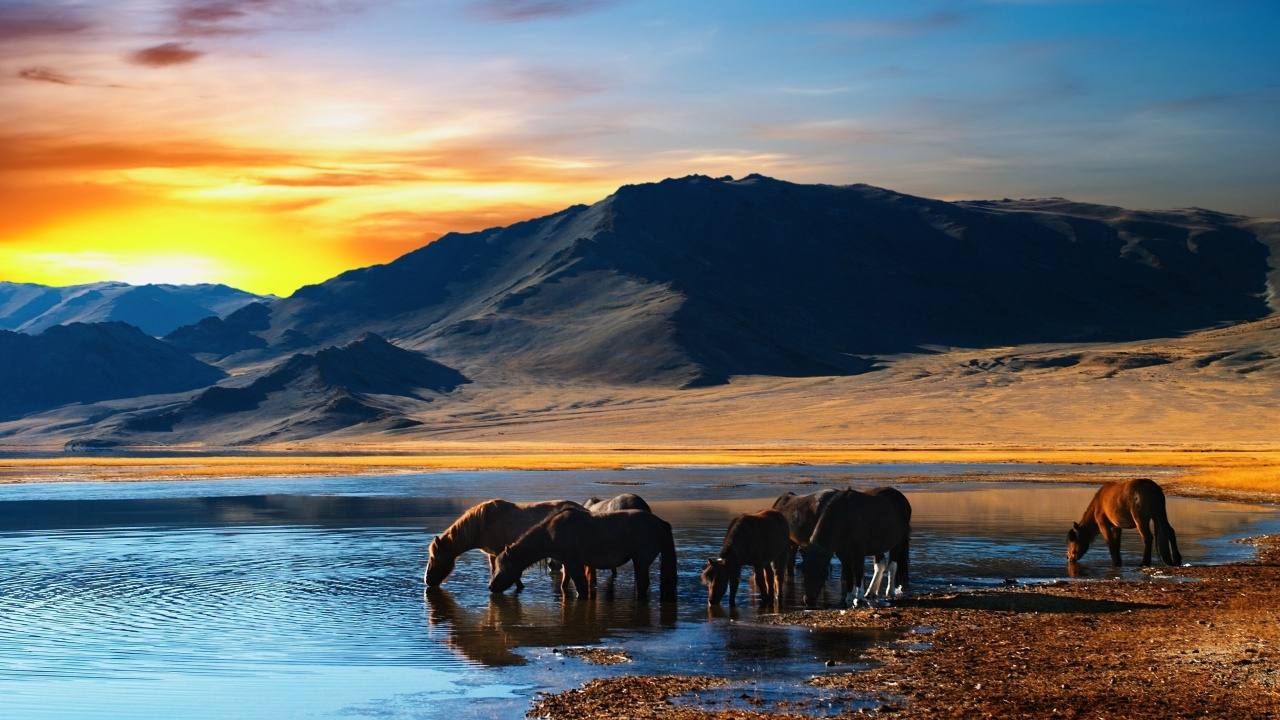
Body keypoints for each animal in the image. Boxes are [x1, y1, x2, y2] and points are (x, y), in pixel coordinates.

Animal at [489, 507, 678, 603]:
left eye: (503, 566)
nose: (491, 586)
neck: (550, 534)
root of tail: (661, 523)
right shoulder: (568, 563)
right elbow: (567, 584)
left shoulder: (573, 563)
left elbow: (581, 587)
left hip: (641, 561)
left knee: (643, 583)